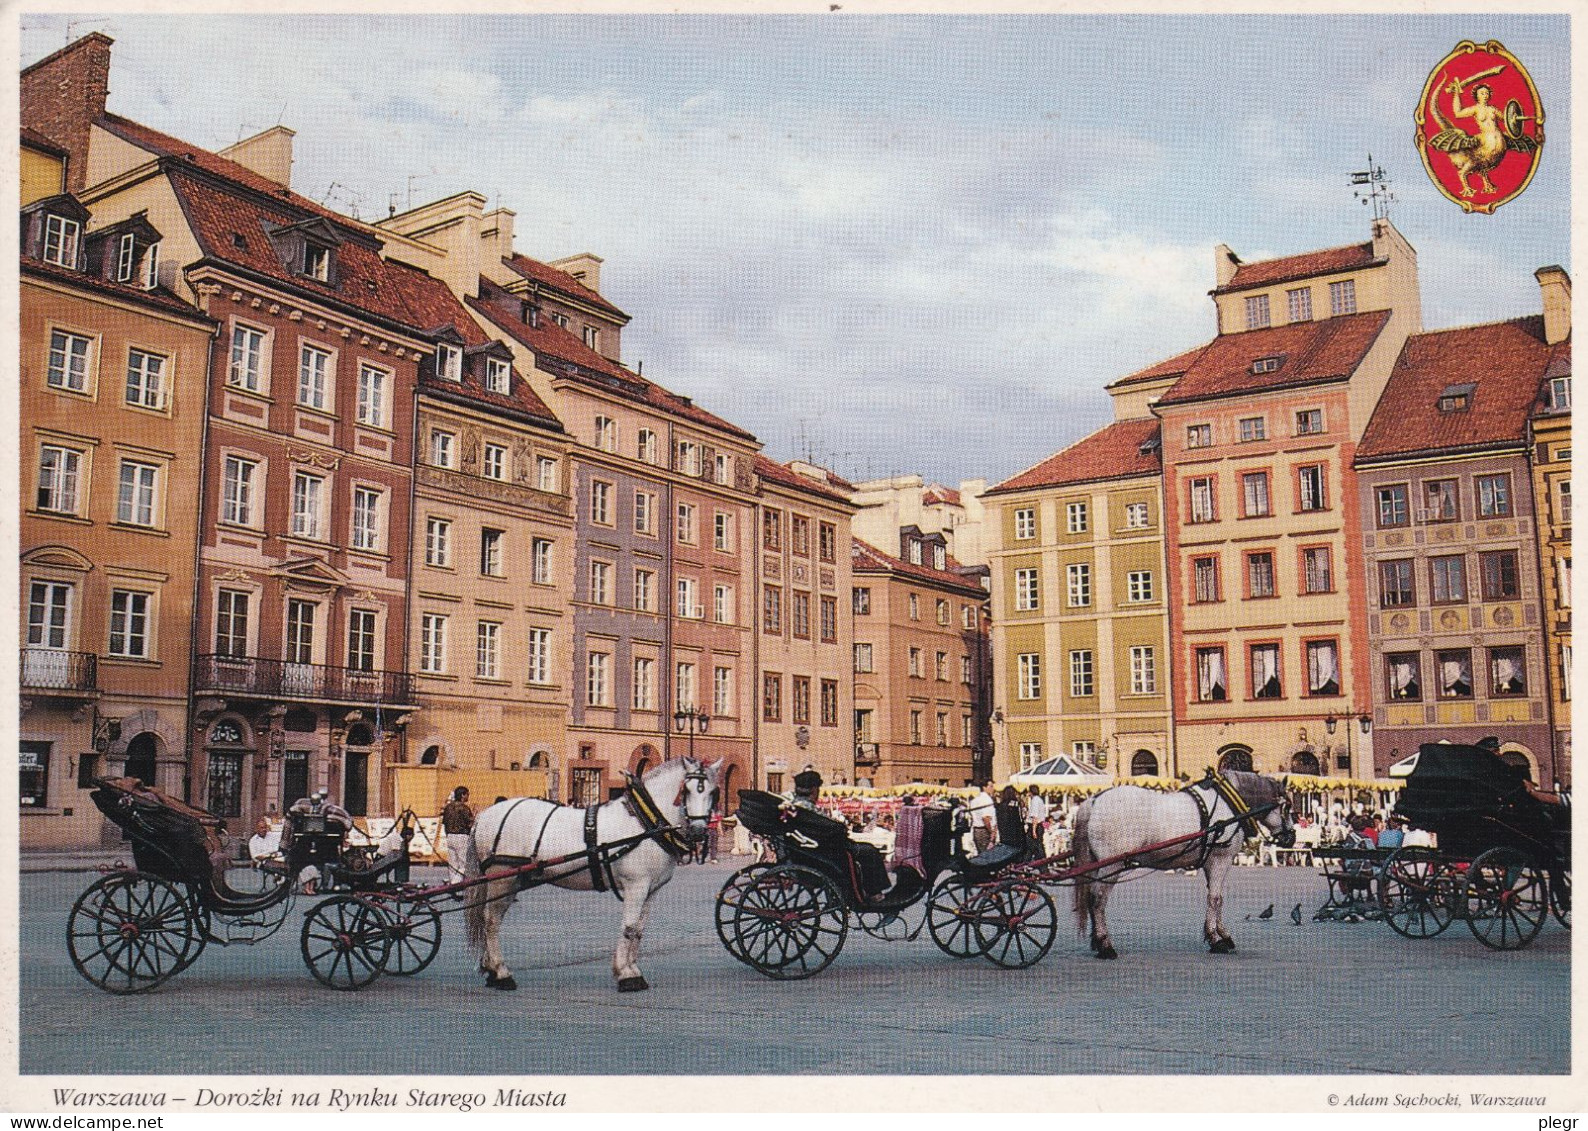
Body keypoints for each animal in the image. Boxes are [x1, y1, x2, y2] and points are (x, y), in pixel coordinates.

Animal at [460, 759, 720, 991]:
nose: (699, 832)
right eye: (686, 790)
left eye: (713, 792)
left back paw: (491, 970)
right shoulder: (636, 886)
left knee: (489, 919)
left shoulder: (651, 890)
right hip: (502, 878)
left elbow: (638, 931)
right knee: (491, 921)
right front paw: (626, 975)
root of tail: (484, 815)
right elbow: (628, 927)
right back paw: (501, 972)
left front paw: (632, 968)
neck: (644, 824)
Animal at [1067, 765, 1289, 959]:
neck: (1229, 804)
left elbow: (1217, 899)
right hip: (1112, 865)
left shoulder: (1210, 863)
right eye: (1286, 806)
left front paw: (1222, 935)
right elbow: (1215, 899)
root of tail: (1095, 801)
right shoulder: (1220, 859)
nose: (1290, 837)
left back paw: (1097, 942)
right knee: (1098, 900)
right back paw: (1105, 946)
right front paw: (1216, 939)